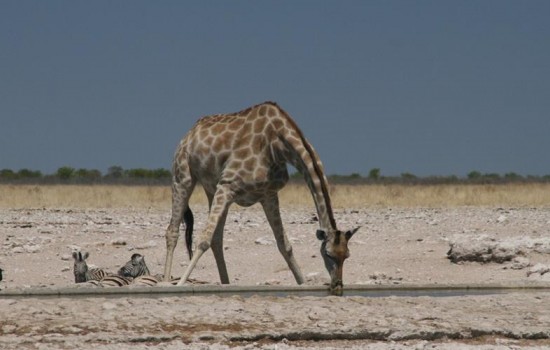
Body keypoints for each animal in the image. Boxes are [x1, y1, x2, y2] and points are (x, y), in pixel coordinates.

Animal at [165, 101, 362, 296]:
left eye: (347, 255)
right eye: (328, 254)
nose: (337, 286)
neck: (278, 144)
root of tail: (189, 133)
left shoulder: (268, 194)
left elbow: (284, 245)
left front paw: (302, 283)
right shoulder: (227, 185)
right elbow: (203, 240)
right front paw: (180, 284)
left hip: (212, 189)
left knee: (217, 239)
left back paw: (226, 284)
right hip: (183, 176)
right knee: (173, 230)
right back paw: (166, 281)